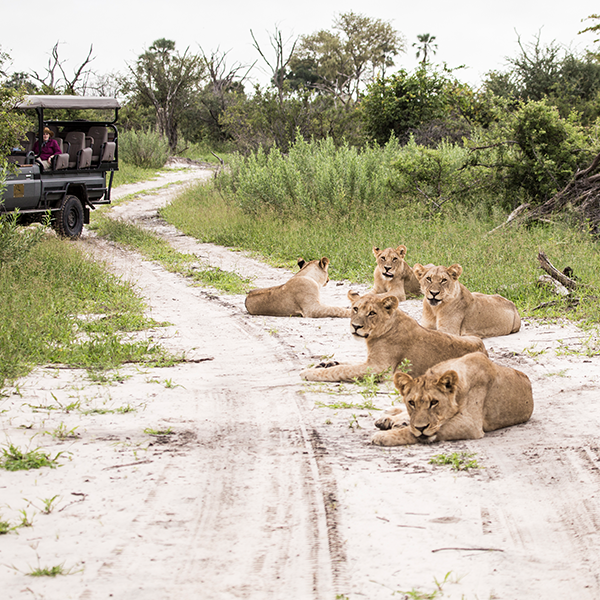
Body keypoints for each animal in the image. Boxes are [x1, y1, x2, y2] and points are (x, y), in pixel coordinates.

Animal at [300, 292, 488, 384]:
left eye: (372, 313)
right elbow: (347, 364)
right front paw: (326, 363)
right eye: (355, 309)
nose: (356, 326)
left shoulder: (378, 367)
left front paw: (308, 373)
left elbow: (342, 370)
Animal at [372, 352, 532, 446]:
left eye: (434, 402)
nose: (421, 428)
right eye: (411, 403)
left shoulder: (469, 423)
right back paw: (387, 419)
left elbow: (412, 432)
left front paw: (382, 436)